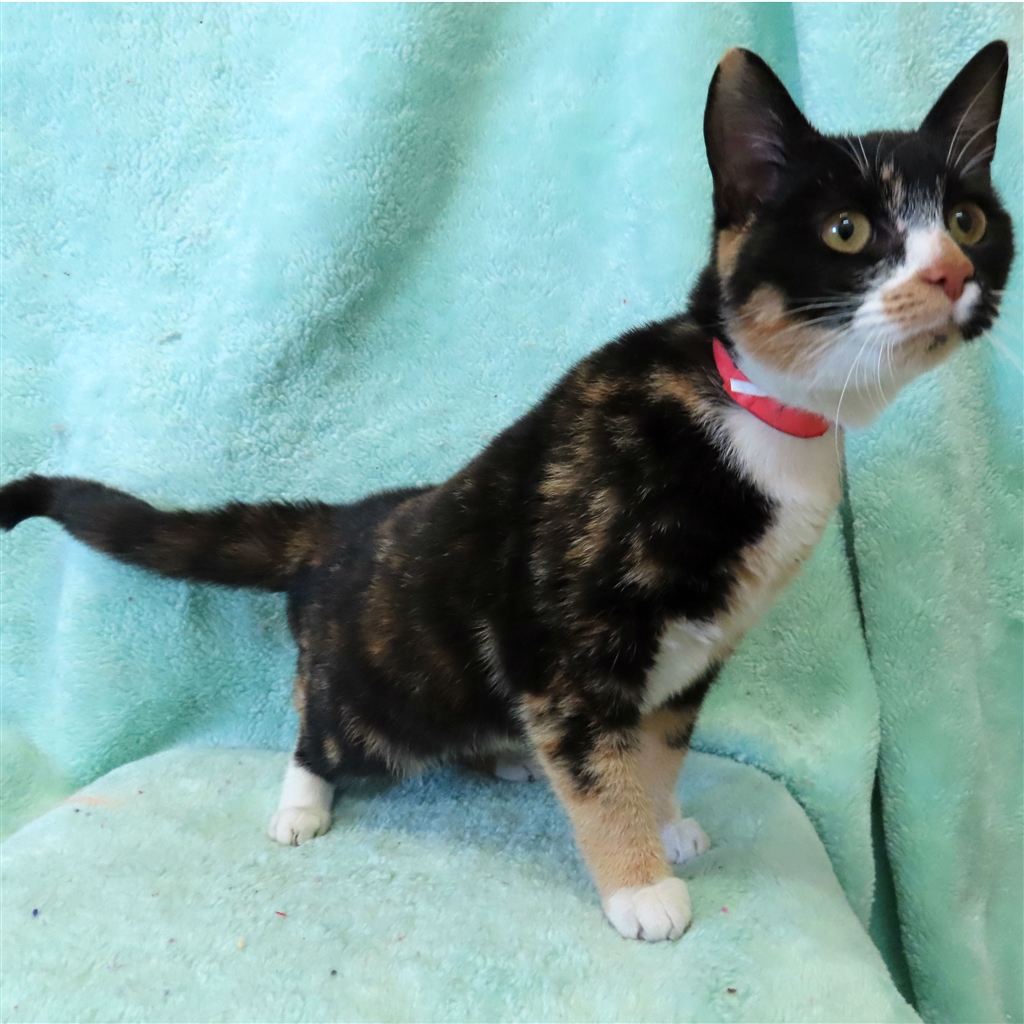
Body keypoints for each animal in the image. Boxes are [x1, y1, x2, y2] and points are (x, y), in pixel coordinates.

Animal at [0, 42, 1013, 942]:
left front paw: (664, 821)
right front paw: (638, 884)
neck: (761, 413)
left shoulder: (698, 652)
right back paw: (303, 801)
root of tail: (346, 521)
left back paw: (509, 759)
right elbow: (599, 764)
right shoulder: (567, 641)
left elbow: (659, 746)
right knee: (319, 720)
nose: (951, 272)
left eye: (969, 221)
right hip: (386, 687)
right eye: (848, 231)